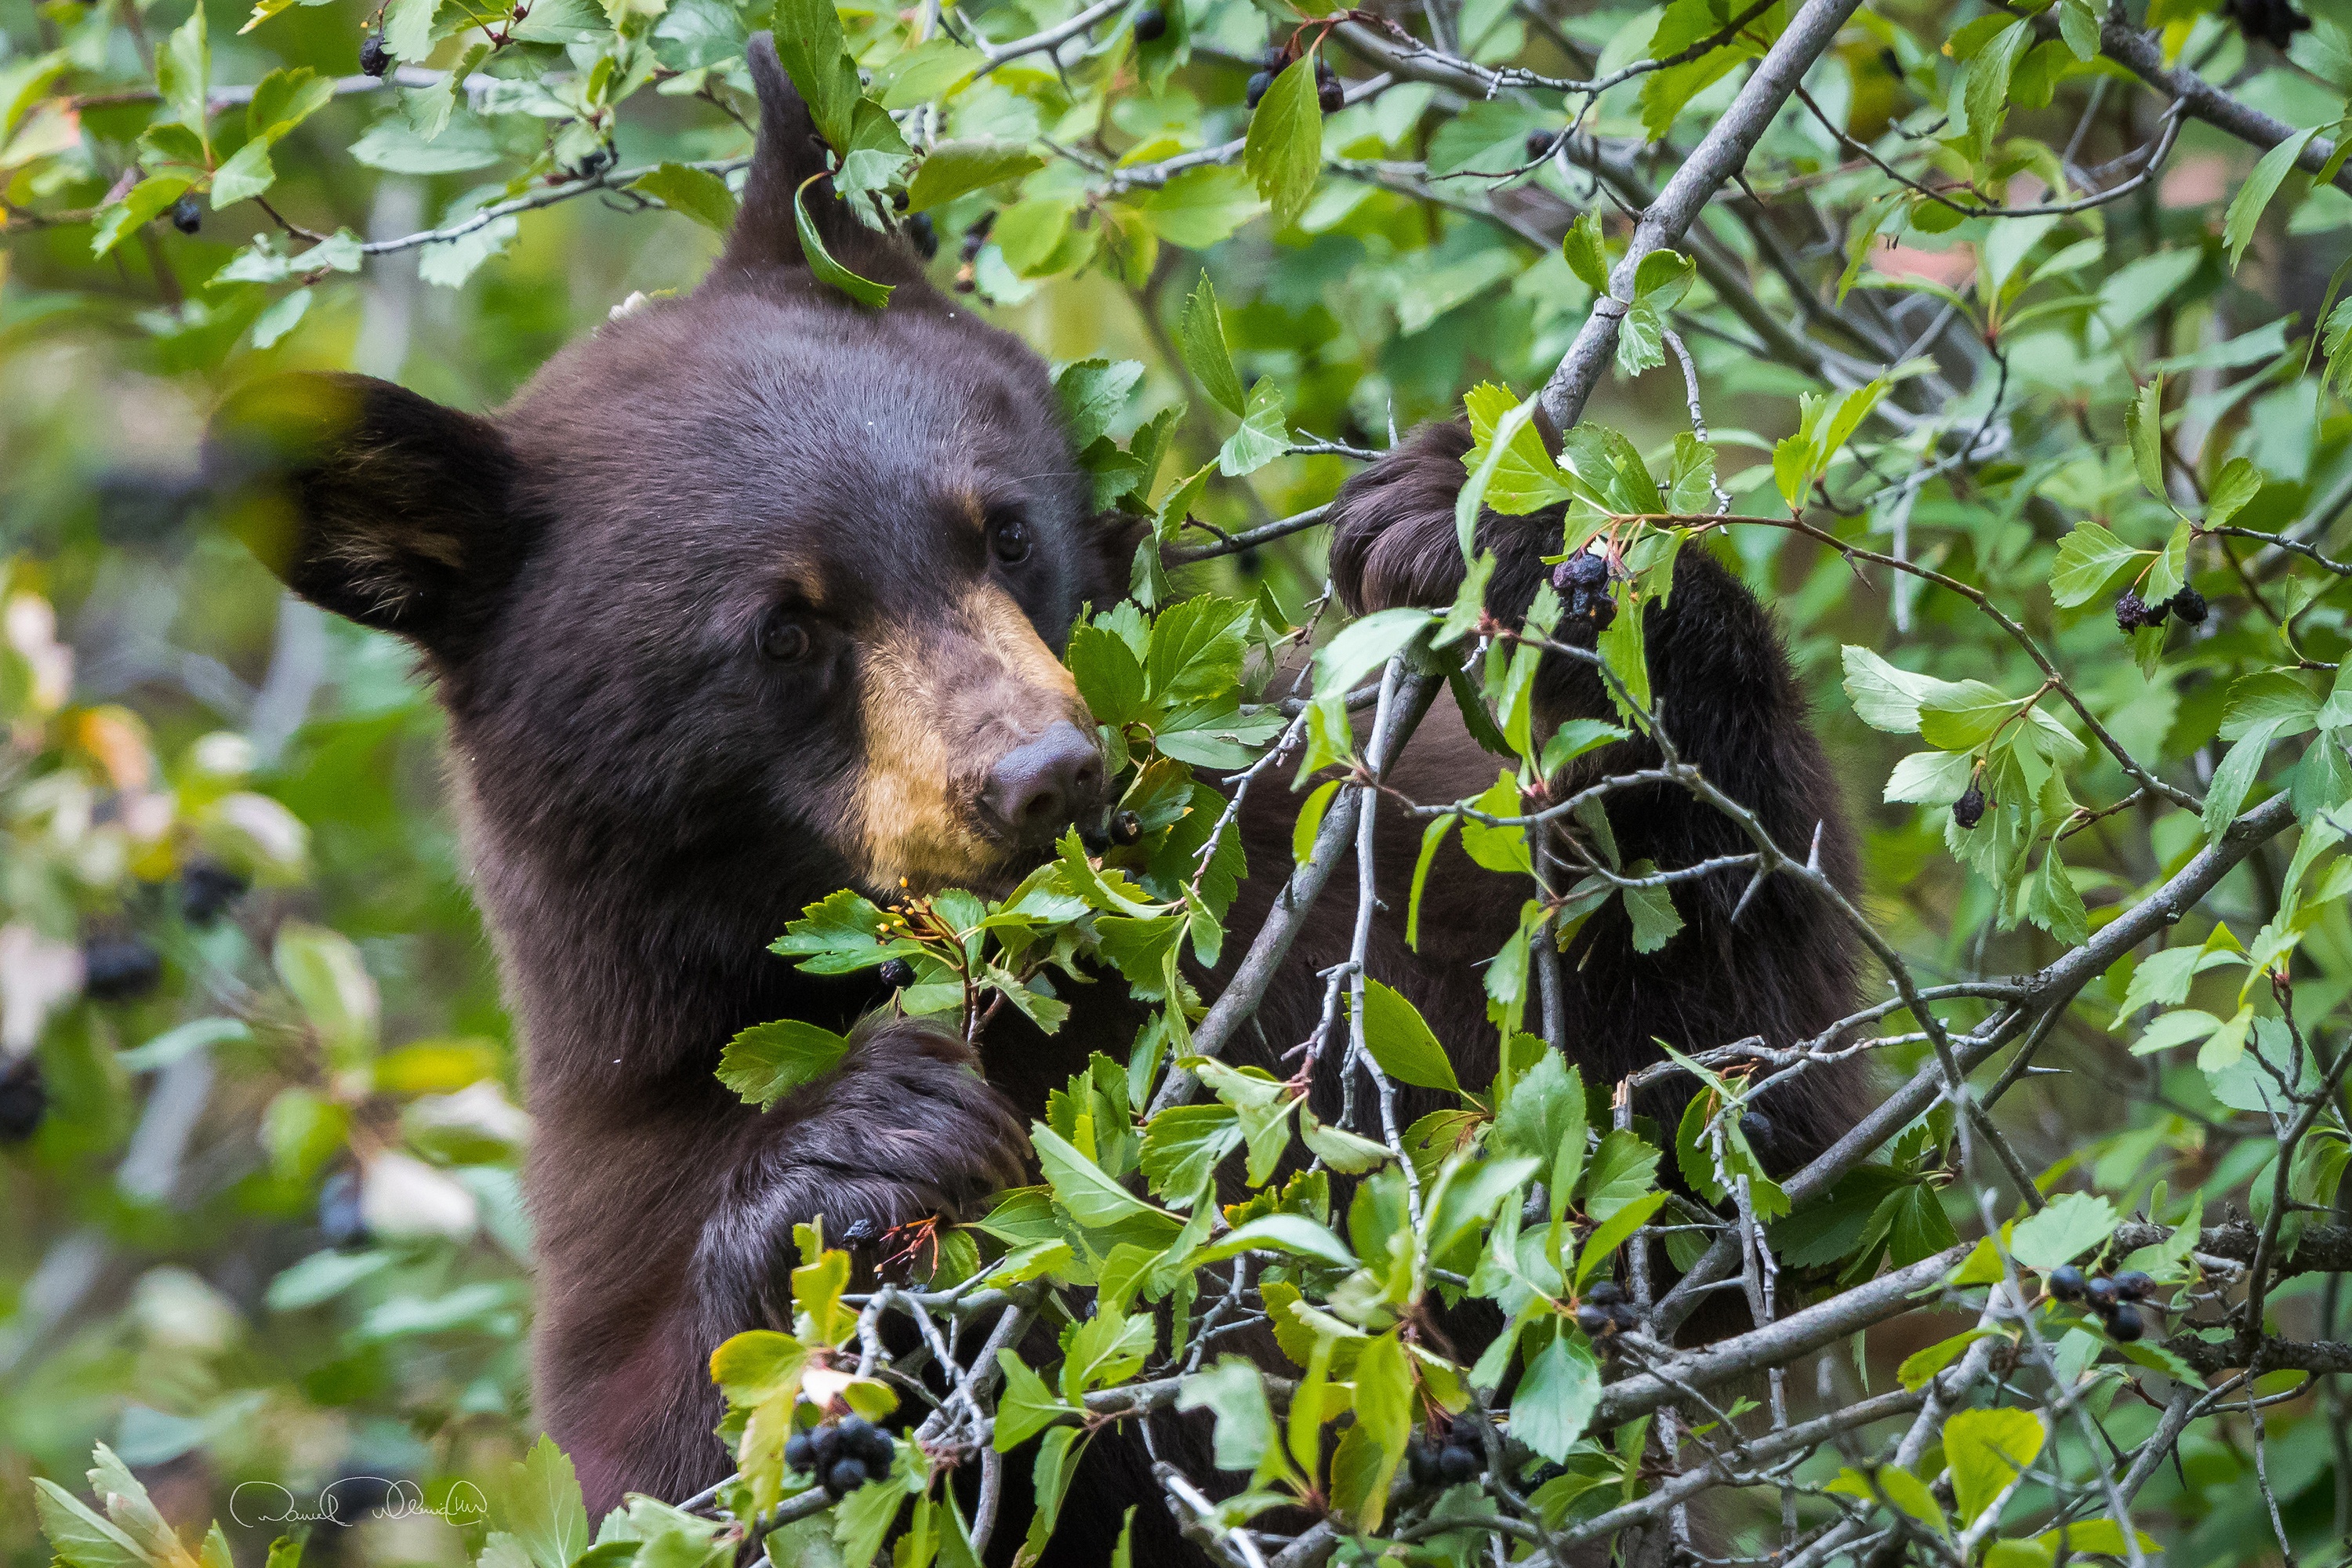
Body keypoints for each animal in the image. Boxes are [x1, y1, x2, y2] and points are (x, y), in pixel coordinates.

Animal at [216, 34, 1872, 1561]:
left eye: (1002, 531)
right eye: (786, 631)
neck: (1058, 983)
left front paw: (1521, 550)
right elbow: (669, 1475)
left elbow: (1725, 1124)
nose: (1043, 773)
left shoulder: (1377, 895)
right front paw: (852, 1152)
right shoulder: (618, 1140)